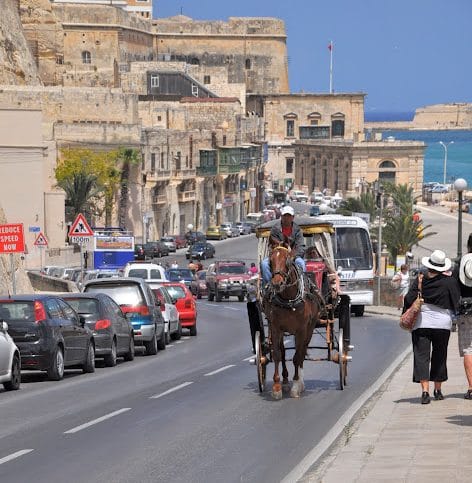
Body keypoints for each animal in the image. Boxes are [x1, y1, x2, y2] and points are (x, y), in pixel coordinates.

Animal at [264, 239, 322, 400]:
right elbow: (277, 354)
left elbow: (297, 357)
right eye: (270, 261)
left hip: (309, 328)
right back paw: (284, 381)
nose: (277, 283)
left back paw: (300, 382)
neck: (288, 299)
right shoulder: (275, 327)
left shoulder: (301, 329)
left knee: (302, 352)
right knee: (284, 352)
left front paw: (296, 386)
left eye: (288, 261)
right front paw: (277, 387)